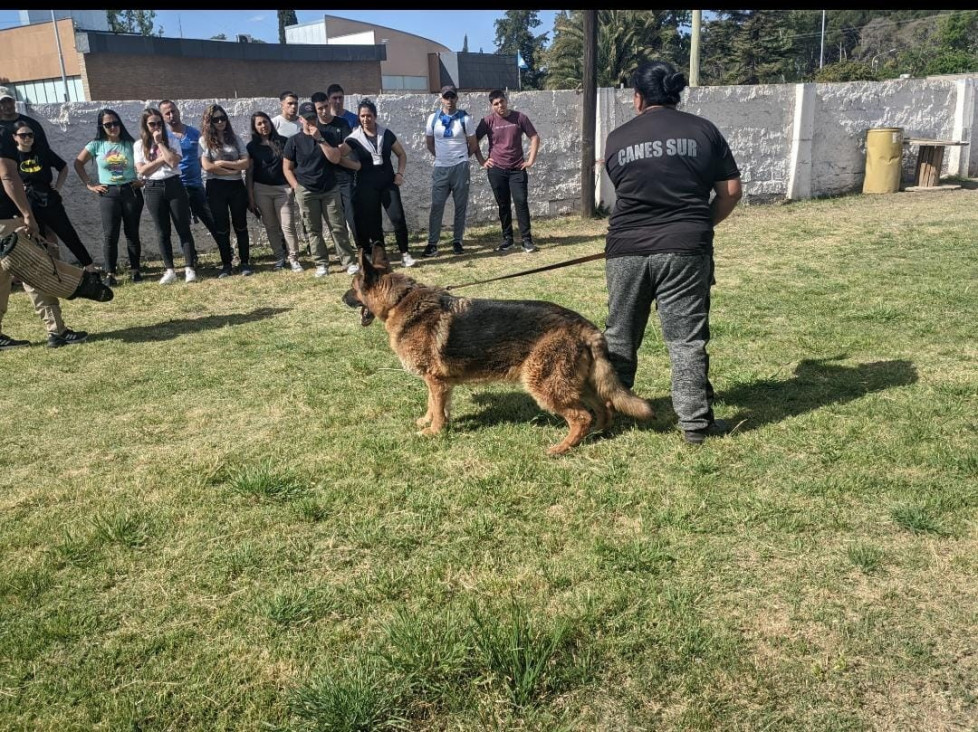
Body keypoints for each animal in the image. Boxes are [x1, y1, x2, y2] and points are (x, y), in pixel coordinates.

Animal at [340, 247, 652, 452]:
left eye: (352, 288)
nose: (341, 299)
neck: (400, 300)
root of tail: (583, 325)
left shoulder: (436, 381)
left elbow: (438, 409)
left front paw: (434, 431)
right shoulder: (438, 383)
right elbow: (434, 405)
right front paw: (429, 421)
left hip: (543, 384)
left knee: (581, 416)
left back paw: (562, 447)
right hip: (576, 382)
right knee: (604, 406)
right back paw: (597, 433)